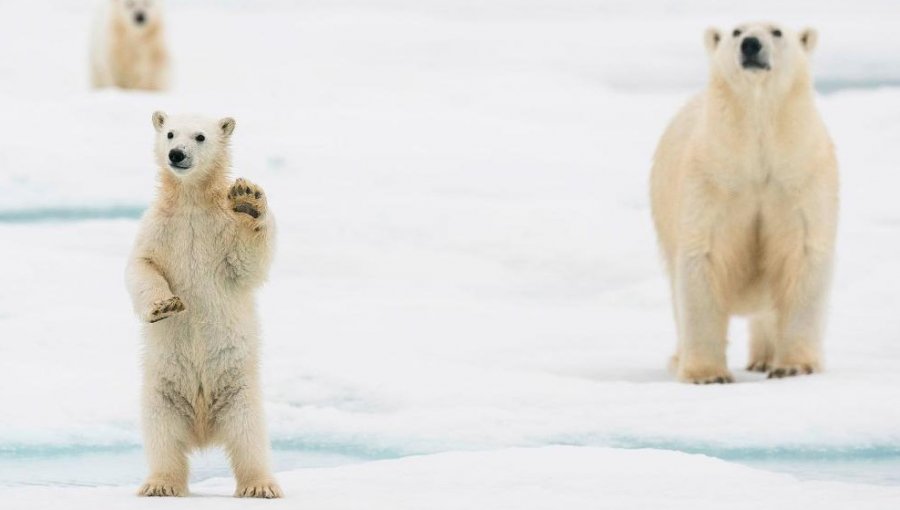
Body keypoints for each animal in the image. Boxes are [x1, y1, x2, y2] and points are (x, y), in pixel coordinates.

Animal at [125, 111, 282, 498]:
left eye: (200, 136)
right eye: (169, 133)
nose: (177, 154)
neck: (191, 202)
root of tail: (202, 430)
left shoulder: (220, 230)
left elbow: (247, 263)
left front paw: (249, 199)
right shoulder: (158, 227)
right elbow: (141, 265)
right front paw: (164, 306)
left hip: (240, 390)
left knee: (249, 436)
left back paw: (260, 486)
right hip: (161, 392)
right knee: (162, 436)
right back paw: (160, 484)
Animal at [652, 22, 840, 382]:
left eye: (777, 31)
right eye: (736, 31)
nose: (751, 45)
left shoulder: (799, 177)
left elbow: (802, 254)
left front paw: (794, 366)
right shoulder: (712, 178)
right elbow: (704, 258)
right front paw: (707, 374)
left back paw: (764, 359)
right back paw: (679, 358)